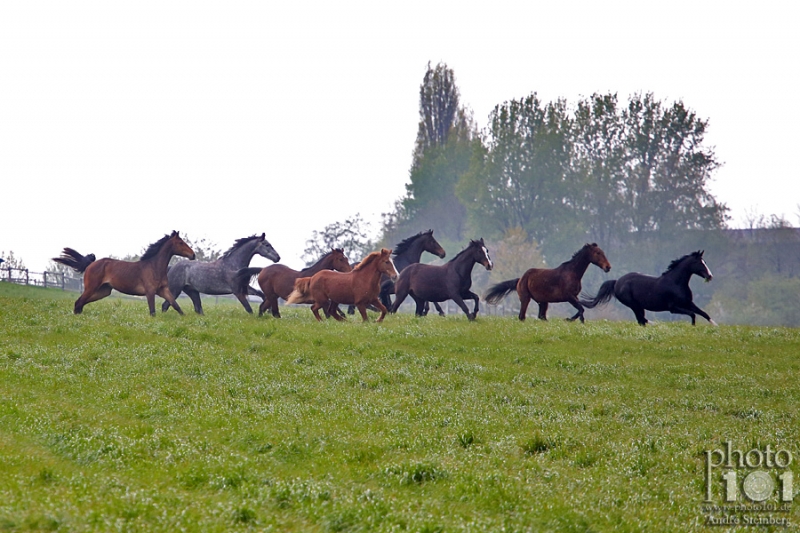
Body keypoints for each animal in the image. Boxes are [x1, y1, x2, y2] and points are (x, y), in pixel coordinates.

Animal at [53, 230, 195, 314]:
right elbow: (152, 311)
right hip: (92, 288)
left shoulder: (163, 290)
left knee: (81, 303)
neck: (154, 267)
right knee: (79, 302)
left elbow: (176, 306)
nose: (193, 255)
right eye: (180, 243)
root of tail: (91, 264)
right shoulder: (150, 292)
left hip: (103, 291)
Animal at [580, 248, 716, 324]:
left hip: (638, 306)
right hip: (633, 305)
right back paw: (655, 324)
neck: (676, 283)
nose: (710, 276)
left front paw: (715, 326)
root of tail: (617, 281)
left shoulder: (688, 303)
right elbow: (693, 315)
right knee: (641, 319)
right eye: (699, 263)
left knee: (641, 320)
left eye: (705, 262)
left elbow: (704, 314)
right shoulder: (673, 308)